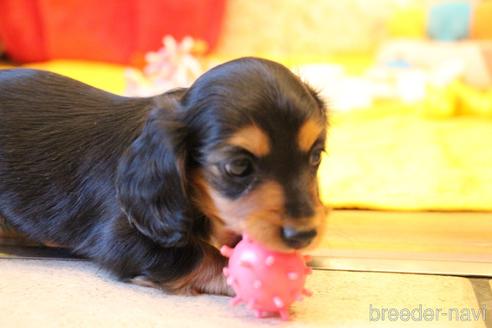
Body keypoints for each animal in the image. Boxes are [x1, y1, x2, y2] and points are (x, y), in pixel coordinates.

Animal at [0, 57, 330, 296]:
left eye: (315, 156)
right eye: (238, 166)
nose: (303, 236)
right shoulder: (120, 237)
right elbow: (201, 254)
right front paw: (234, 271)